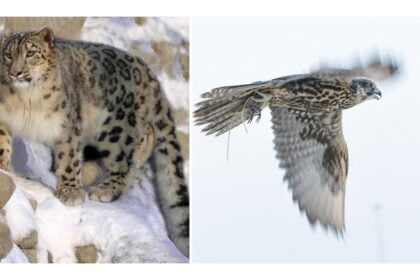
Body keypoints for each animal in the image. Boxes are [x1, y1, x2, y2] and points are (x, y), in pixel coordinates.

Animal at [0, 27, 189, 256]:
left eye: (30, 53)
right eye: (8, 54)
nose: (15, 73)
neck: (27, 100)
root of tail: (148, 73)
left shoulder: (67, 126)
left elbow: (69, 159)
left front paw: (70, 192)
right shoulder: (3, 117)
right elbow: (2, 143)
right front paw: (2, 167)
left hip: (115, 129)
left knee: (125, 159)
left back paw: (104, 190)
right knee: (146, 136)